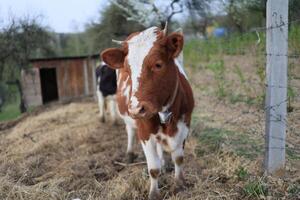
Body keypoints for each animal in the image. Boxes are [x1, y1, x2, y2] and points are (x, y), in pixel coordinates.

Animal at [101, 25, 195, 200]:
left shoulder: (185, 124)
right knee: (130, 132)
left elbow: (178, 158)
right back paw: (129, 154)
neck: (164, 112)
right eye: (127, 70)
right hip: (129, 120)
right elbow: (153, 168)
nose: (136, 108)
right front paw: (154, 193)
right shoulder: (144, 132)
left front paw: (179, 184)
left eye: (158, 64)